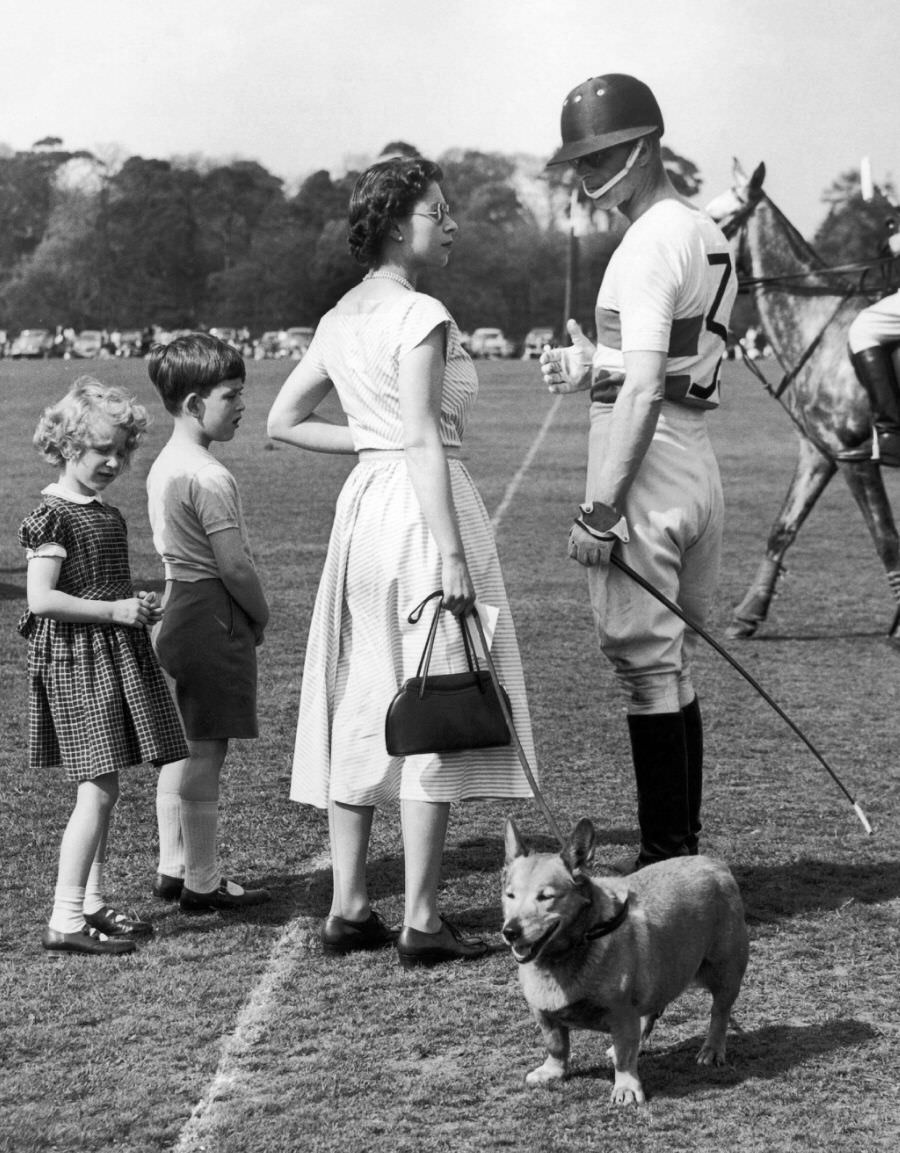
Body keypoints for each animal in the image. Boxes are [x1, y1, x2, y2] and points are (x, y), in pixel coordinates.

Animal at [502, 816, 746, 1102]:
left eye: (546, 897)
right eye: (510, 895)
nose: (510, 931)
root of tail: (716, 864)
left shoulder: (621, 1014)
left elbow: (624, 1056)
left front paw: (626, 1087)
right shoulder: (543, 1014)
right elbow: (556, 1045)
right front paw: (552, 1071)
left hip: (725, 973)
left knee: (719, 1012)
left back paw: (712, 1050)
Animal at [700, 160, 898, 641]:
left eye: (716, 218)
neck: (820, 330)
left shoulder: (854, 454)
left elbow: (886, 537)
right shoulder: (819, 451)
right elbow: (782, 528)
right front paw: (748, 613)